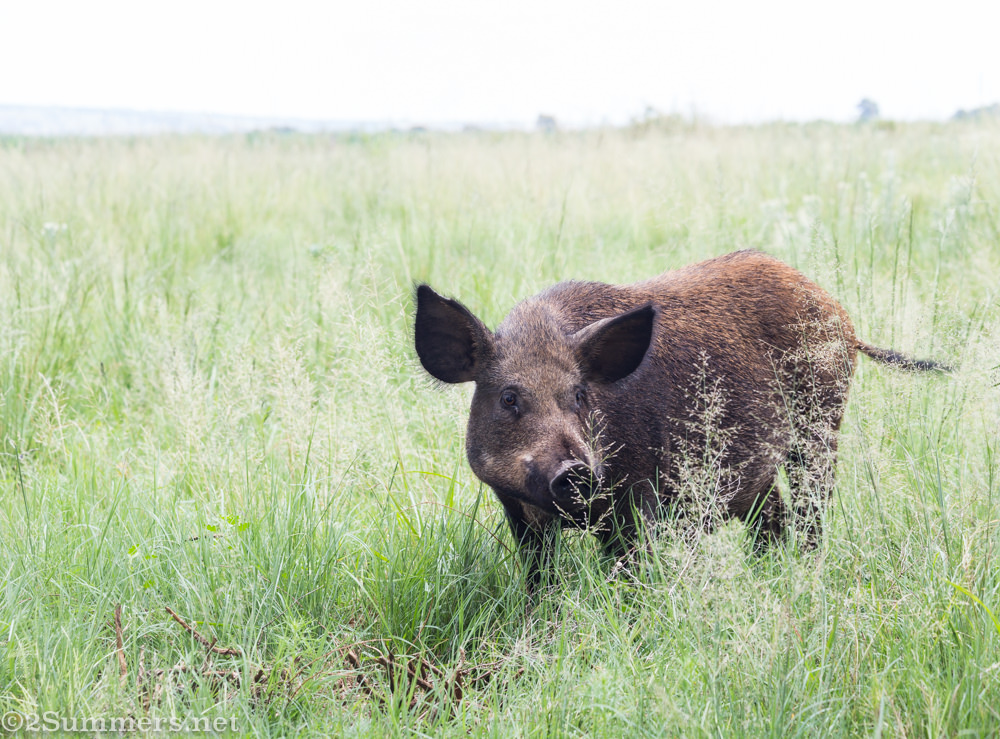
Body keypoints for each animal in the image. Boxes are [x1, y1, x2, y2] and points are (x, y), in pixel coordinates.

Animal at [414, 250, 947, 584]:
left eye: (580, 395)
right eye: (509, 398)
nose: (578, 471)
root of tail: (841, 317)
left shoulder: (638, 501)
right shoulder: (518, 512)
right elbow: (539, 583)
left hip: (821, 422)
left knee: (811, 509)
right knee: (773, 517)